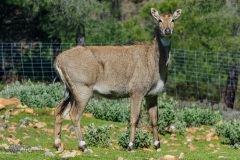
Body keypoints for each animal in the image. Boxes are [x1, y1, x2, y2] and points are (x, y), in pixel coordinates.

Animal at [53, 7, 182, 152]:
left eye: (173, 20)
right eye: (159, 20)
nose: (167, 30)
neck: (154, 63)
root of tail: (58, 59)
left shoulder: (153, 94)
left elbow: (154, 120)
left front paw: (157, 146)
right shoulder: (136, 91)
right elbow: (134, 119)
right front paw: (131, 146)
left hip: (69, 90)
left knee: (59, 111)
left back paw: (58, 144)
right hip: (82, 89)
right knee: (74, 115)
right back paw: (84, 146)